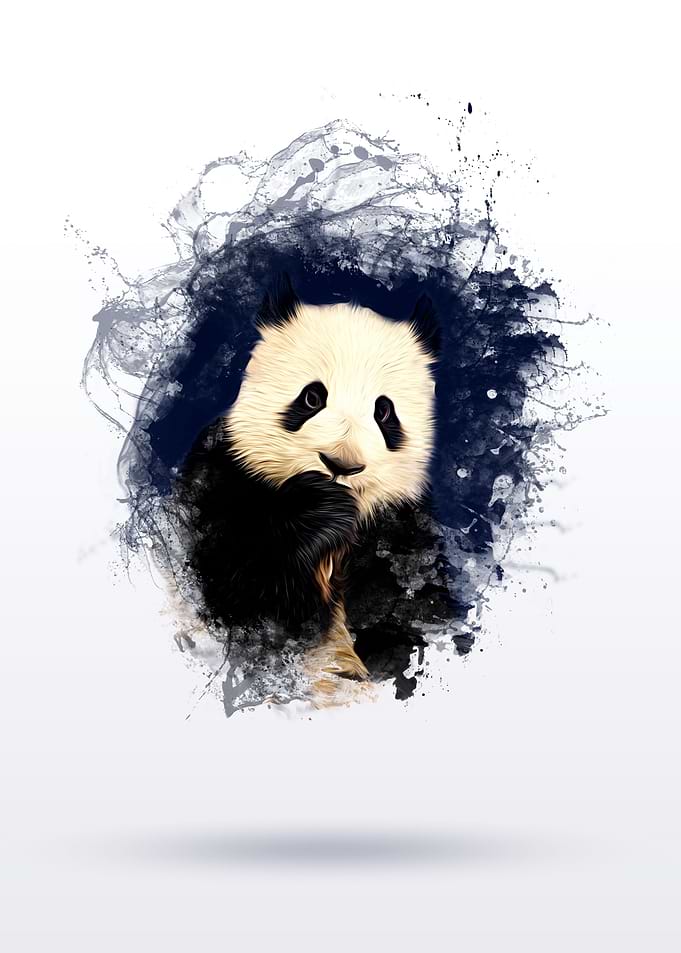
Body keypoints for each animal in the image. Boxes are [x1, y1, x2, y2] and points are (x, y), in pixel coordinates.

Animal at [176, 273, 442, 702]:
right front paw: (320, 509)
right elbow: (241, 600)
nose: (341, 466)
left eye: (384, 411)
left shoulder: (405, 521)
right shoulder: (215, 483)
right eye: (312, 397)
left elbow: (420, 597)